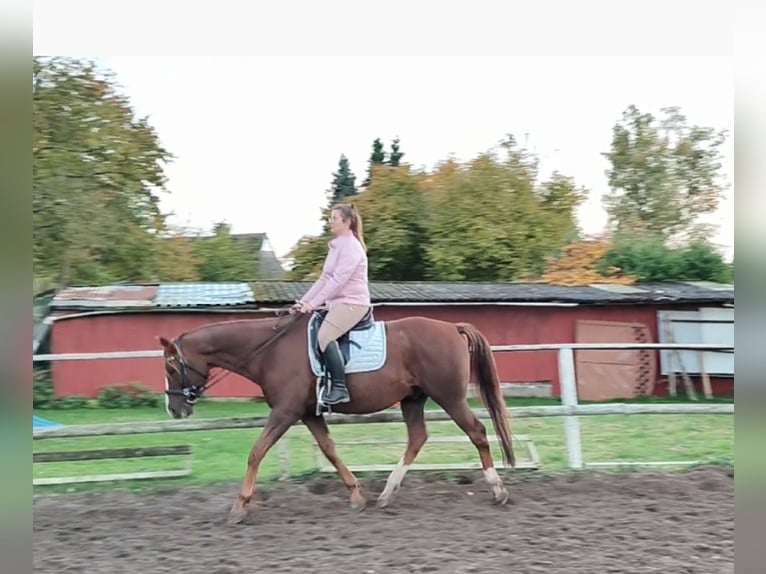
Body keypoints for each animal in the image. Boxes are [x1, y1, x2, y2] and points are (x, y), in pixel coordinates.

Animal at [158, 310, 516, 528]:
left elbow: (256, 452)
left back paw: (498, 490)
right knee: (417, 438)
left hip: (450, 397)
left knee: (477, 431)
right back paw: (386, 494)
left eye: (171, 369)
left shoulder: (285, 412)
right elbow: (330, 450)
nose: (174, 410)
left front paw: (239, 507)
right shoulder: (308, 414)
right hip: (413, 399)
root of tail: (452, 327)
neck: (269, 350)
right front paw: (356, 496)